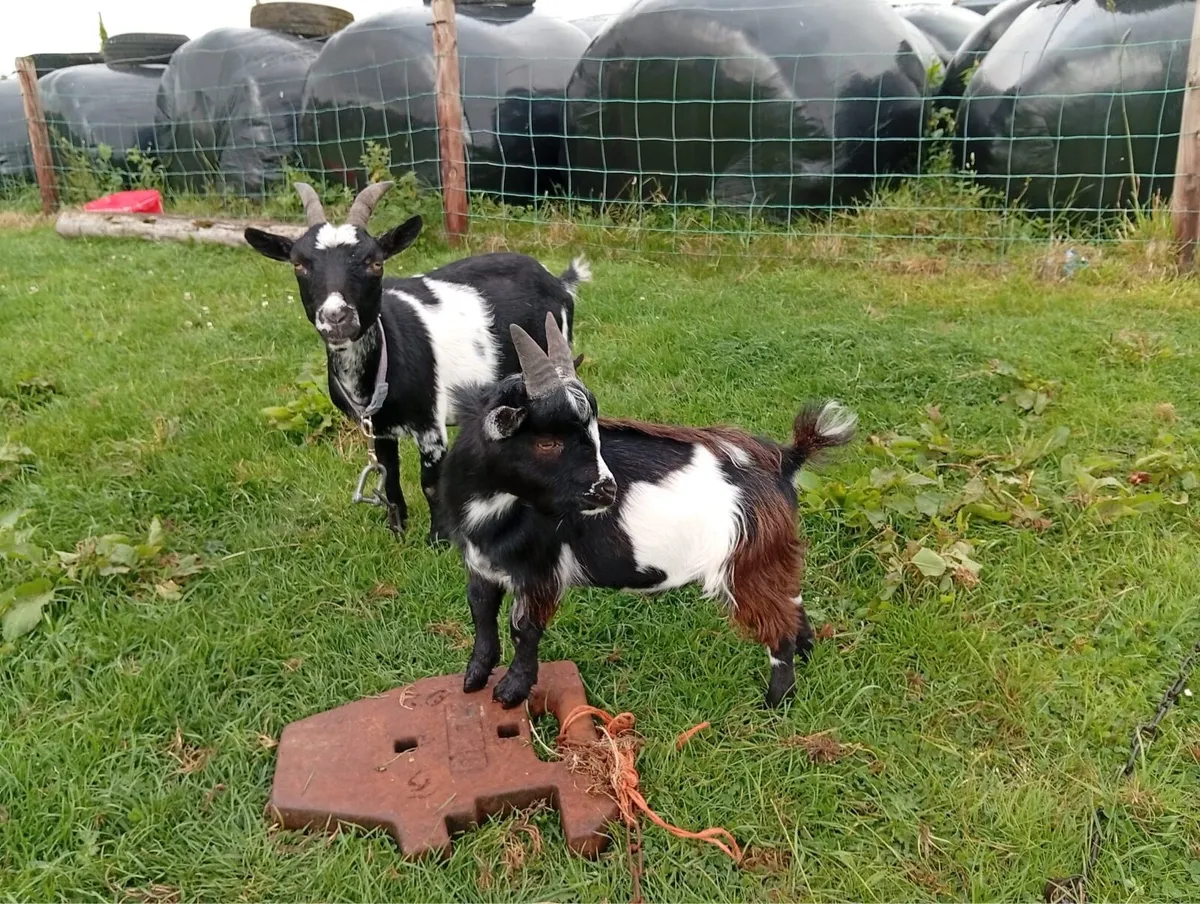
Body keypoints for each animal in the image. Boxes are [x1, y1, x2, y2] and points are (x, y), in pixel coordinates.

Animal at [243, 182, 590, 544]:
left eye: (375, 262)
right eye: (298, 264)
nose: (337, 317)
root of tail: (558, 281)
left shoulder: (430, 424)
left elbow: (431, 485)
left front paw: (439, 540)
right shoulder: (379, 429)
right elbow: (389, 477)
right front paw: (397, 531)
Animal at [439, 312, 857, 708]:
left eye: (593, 431)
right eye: (547, 442)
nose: (607, 489)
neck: (495, 510)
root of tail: (785, 461)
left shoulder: (541, 572)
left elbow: (523, 627)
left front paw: (510, 692)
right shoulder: (482, 565)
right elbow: (481, 611)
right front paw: (474, 678)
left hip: (746, 561)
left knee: (777, 625)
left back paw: (776, 702)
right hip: (774, 554)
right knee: (793, 599)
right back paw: (806, 656)